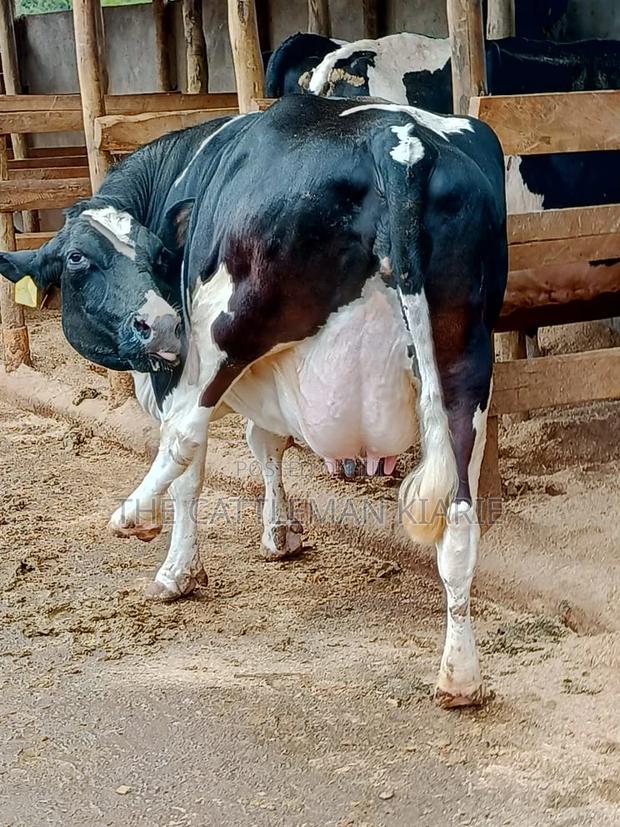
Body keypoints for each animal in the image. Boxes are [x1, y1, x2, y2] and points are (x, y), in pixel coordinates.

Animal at [0, 96, 508, 708]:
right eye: (77, 259)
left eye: (156, 254)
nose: (161, 326)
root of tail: (398, 142)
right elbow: (267, 443)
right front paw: (280, 532)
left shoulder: (179, 371)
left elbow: (195, 470)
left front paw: (178, 572)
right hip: (465, 361)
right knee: (458, 513)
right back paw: (460, 675)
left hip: (227, 334)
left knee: (184, 436)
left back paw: (133, 513)